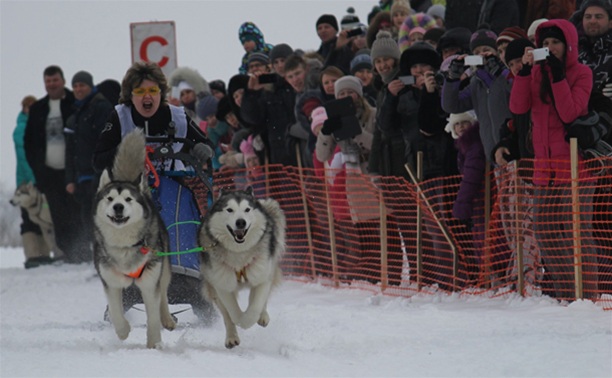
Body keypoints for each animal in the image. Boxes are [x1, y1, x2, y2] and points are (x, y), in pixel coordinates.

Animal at [93, 131, 176, 348]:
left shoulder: (150, 280)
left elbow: (153, 314)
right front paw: (123, 331)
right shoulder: (110, 281)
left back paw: (167, 319)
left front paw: (154, 343)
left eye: (128, 199)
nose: (118, 207)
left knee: (164, 294)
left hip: (164, 267)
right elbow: (115, 311)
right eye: (110, 198)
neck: (124, 245)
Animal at [201, 186, 286, 348]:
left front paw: (249, 319)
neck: (239, 254)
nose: (241, 222)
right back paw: (231, 337)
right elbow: (232, 311)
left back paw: (262, 316)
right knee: (226, 315)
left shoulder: (262, 276)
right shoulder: (221, 284)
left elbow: (255, 306)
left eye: (247, 209)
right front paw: (240, 321)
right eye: (229, 210)